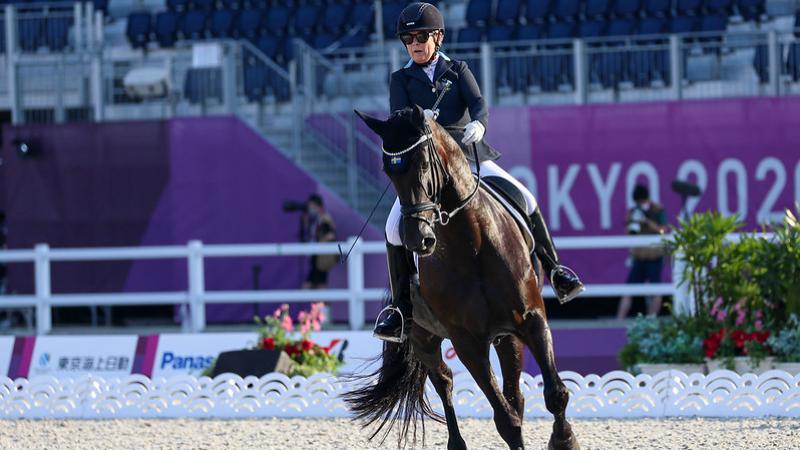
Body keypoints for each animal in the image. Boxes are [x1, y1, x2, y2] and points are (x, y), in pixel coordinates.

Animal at [344, 103, 580, 450]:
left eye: (424, 163)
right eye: (388, 171)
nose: (417, 240)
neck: (473, 243)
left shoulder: (532, 319)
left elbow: (555, 394)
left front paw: (564, 440)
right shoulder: (467, 342)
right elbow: (505, 420)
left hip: (507, 335)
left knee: (515, 394)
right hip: (423, 337)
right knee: (444, 382)